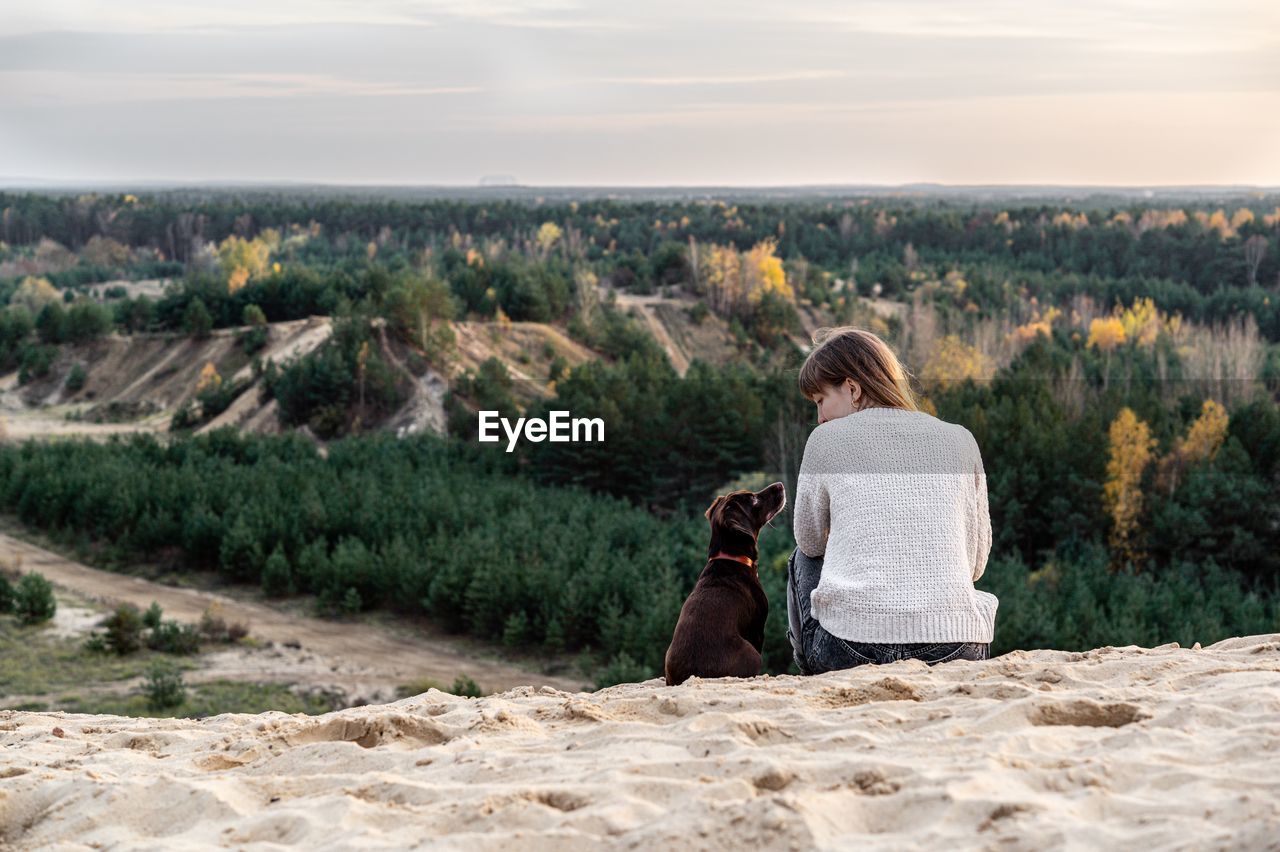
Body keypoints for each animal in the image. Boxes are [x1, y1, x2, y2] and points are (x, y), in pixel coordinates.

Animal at [665, 481, 783, 685]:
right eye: (753, 499)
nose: (780, 485)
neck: (731, 557)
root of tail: (692, 675)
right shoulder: (757, 627)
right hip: (751, 653)